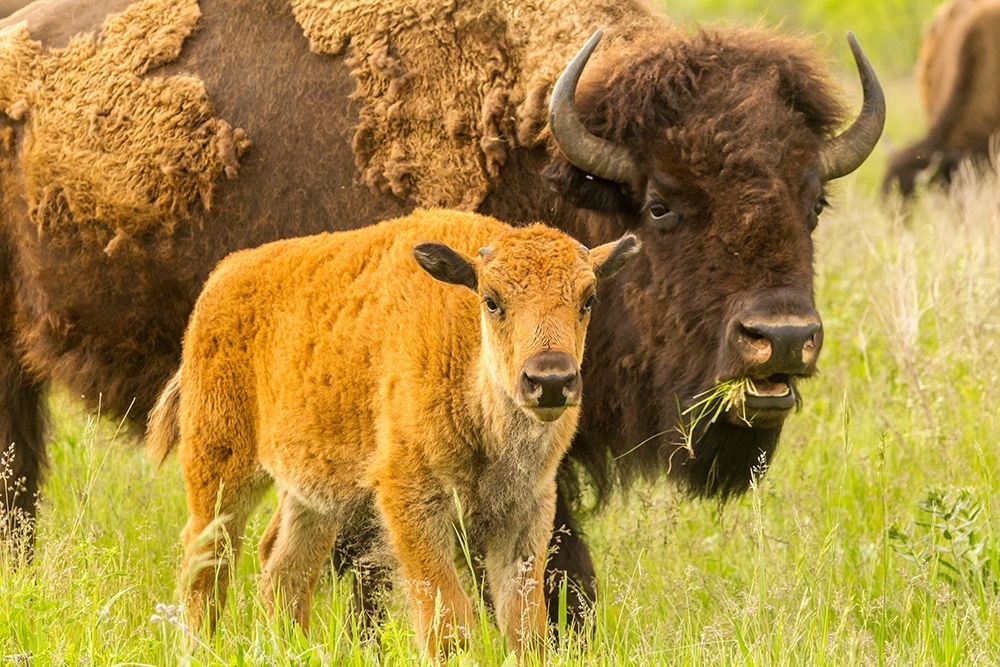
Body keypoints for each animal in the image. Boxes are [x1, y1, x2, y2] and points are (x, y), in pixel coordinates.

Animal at [145, 208, 640, 655]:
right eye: (492, 299)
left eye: (587, 298)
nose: (551, 380)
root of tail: (222, 279)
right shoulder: (412, 502)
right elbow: (449, 622)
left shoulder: (526, 512)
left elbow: (525, 626)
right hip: (220, 470)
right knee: (208, 562)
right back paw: (199, 649)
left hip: (313, 493)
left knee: (283, 568)